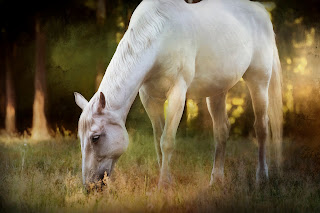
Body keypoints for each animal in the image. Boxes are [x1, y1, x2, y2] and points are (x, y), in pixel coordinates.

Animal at [74, 0, 282, 187]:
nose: (90, 187)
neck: (160, 33)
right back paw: (216, 181)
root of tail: (262, 12)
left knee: (261, 127)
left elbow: (167, 141)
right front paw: (165, 179)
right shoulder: (150, 99)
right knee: (221, 130)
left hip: (259, 81)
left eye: (95, 137)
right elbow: (158, 141)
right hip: (217, 91)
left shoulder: (177, 94)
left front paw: (164, 185)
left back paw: (262, 178)